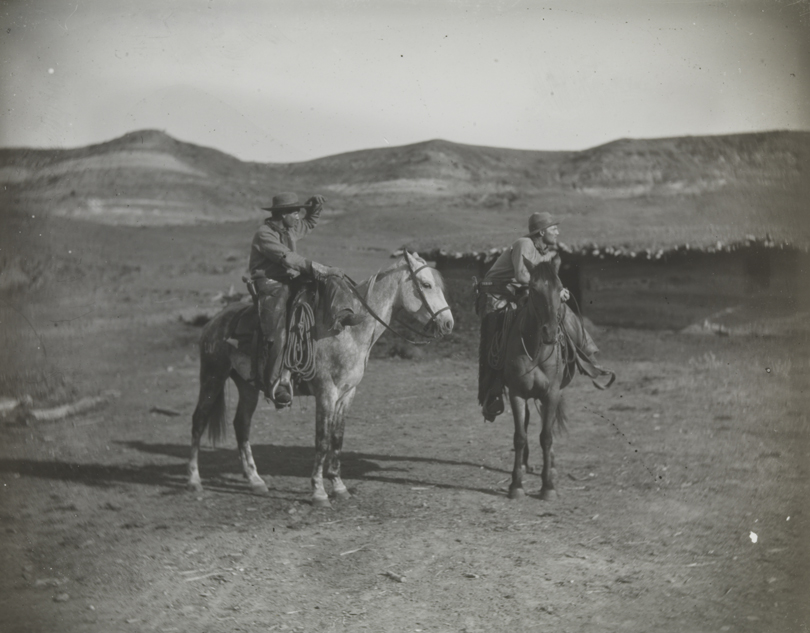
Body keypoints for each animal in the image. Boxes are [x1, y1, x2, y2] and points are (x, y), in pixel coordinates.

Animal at [187, 251, 454, 507]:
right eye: (426, 284)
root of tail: (214, 321)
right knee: (199, 421)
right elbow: (322, 440)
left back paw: (255, 480)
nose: (448, 323)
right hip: (212, 376)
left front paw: (338, 486)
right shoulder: (326, 392)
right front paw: (318, 492)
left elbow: (337, 438)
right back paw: (194, 480)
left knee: (241, 425)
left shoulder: (347, 394)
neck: (348, 329)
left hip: (247, 387)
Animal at [502, 257, 572, 501]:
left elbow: (546, 436)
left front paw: (548, 485)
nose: (549, 332)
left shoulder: (551, 394)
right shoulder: (516, 393)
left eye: (560, 289)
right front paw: (516, 484)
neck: (535, 350)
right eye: (533, 289)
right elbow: (520, 436)